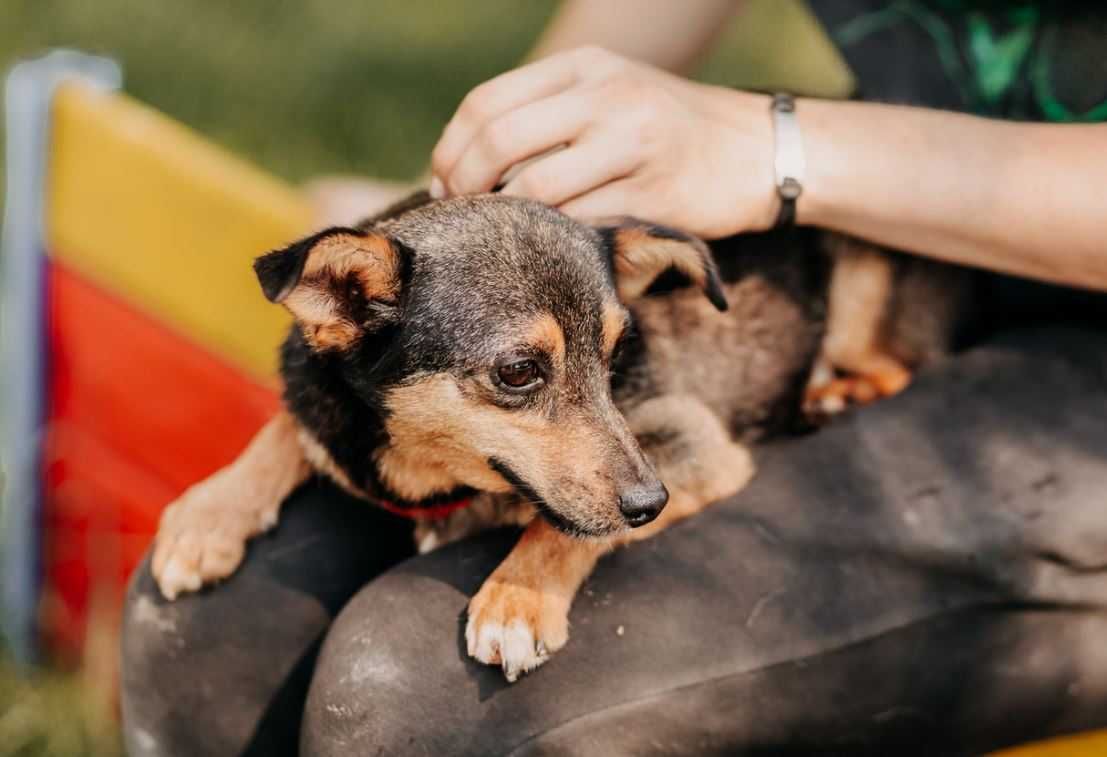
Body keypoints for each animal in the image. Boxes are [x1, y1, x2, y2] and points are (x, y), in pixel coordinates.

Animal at [149, 189, 969, 681]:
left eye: (615, 354)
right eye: (518, 371)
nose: (650, 504)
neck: (428, 477)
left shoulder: (690, 439)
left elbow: (564, 523)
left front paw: (517, 599)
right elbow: (287, 429)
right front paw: (209, 515)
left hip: (863, 293)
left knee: (895, 361)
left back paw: (832, 395)